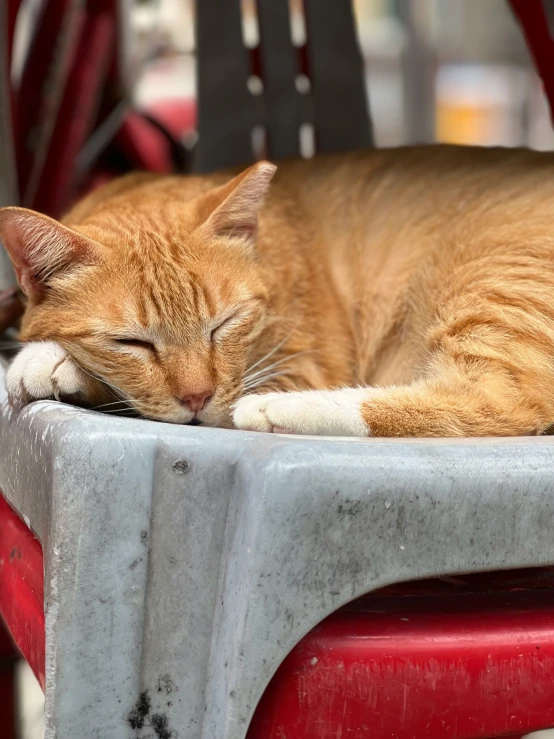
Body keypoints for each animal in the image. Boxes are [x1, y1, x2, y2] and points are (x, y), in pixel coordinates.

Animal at [1, 146, 552, 440]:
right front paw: (53, 358)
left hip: (494, 285)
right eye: (131, 342)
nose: (197, 396)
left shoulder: (305, 363)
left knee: (504, 404)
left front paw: (45, 360)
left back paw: (275, 411)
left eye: (224, 323)